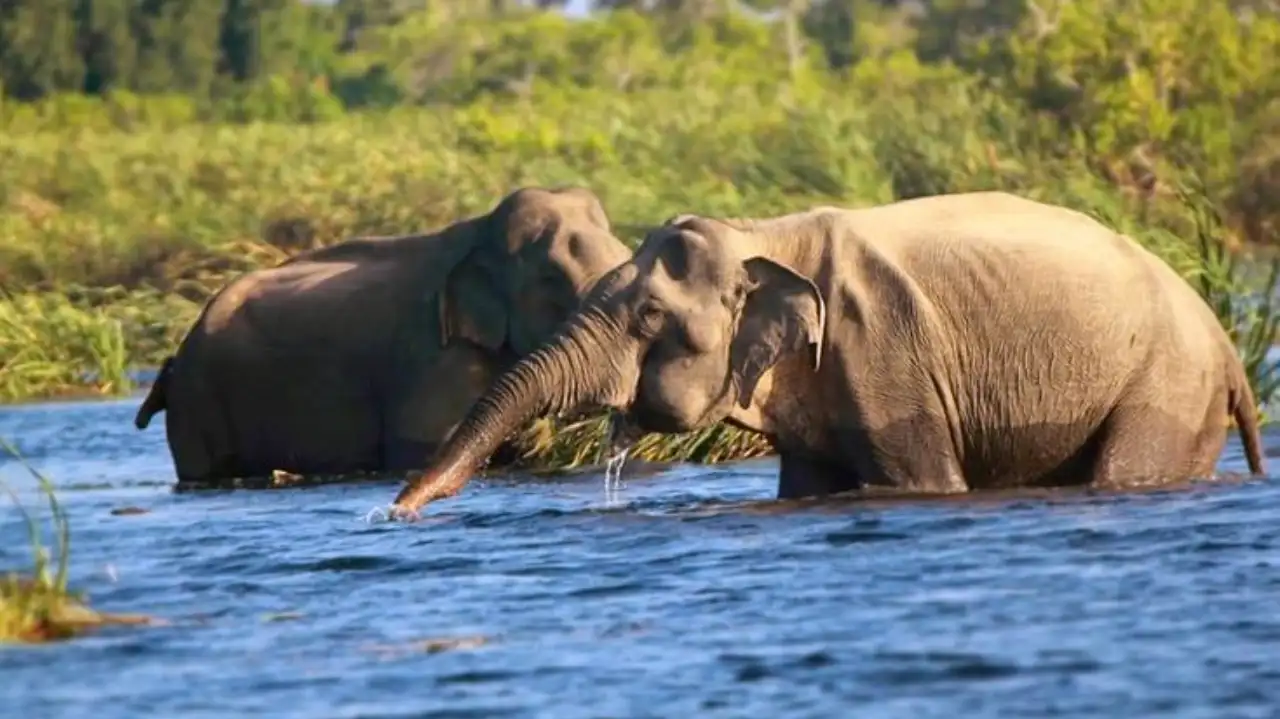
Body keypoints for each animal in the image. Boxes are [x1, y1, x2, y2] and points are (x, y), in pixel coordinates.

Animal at [387, 190, 1267, 515]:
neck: (764, 235)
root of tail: (1229, 350)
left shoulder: (884, 348)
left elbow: (925, 481)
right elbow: (808, 483)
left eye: (648, 315)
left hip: (1165, 385)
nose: (395, 511)